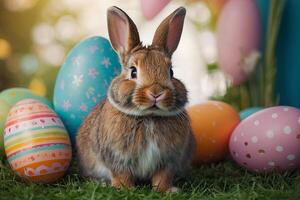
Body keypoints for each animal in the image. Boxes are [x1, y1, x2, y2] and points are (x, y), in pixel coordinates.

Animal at [76, 6, 196, 193]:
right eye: (133, 72)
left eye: (171, 72)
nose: (156, 92)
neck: (149, 117)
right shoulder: (117, 158)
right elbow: (122, 174)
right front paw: (124, 189)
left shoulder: (168, 161)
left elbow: (162, 177)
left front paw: (168, 190)